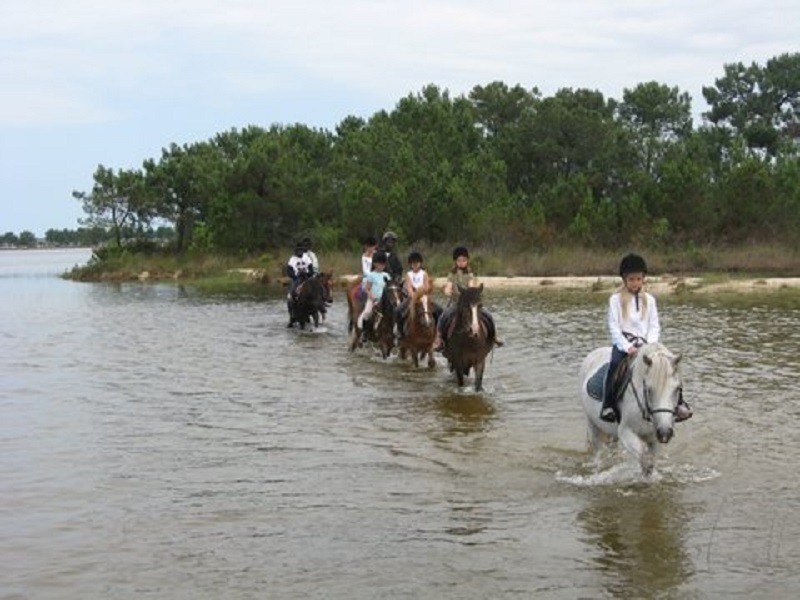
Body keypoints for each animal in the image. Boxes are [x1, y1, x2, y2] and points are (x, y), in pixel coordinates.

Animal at [579, 342, 684, 476]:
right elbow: (643, 458)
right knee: (598, 451)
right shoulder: (625, 432)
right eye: (648, 390)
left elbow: (650, 462)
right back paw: (597, 469)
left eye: (677, 389)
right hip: (592, 424)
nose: (665, 432)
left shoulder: (654, 437)